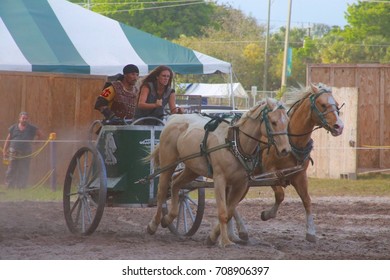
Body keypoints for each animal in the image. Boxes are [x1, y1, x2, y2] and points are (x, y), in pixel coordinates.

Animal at [148, 98, 290, 247]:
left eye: (287, 121)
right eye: (273, 122)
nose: (285, 150)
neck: (234, 143)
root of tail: (174, 118)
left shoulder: (241, 184)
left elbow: (229, 211)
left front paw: (213, 237)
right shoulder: (220, 179)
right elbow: (222, 212)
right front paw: (225, 241)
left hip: (192, 169)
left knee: (176, 184)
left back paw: (168, 218)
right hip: (168, 164)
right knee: (162, 191)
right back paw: (153, 224)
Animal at [229, 82, 344, 243]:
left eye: (337, 105)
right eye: (323, 104)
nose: (339, 126)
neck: (291, 141)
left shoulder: (300, 176)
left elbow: (307, 200)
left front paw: (311, 232)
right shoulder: (270, 174)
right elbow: (280, 195)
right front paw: (267, 214)